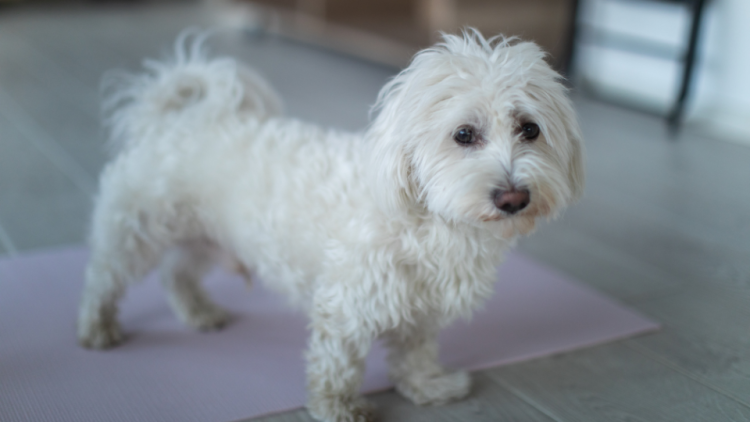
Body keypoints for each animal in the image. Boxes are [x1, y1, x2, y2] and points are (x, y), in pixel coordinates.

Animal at [79, 30, 588, 422]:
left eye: (530, 129)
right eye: (464, 134)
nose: (513, 197)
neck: (429, 220)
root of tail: (171, 121)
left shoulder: (421, 309)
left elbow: (415, 352)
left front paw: (426, 386)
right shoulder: (346, 307)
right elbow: (337, 365)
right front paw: (336, 408)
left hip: (204, 235)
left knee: (177, 273)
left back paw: (199, 312)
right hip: (135, 230)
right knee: (104, 279)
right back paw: (97, 328)